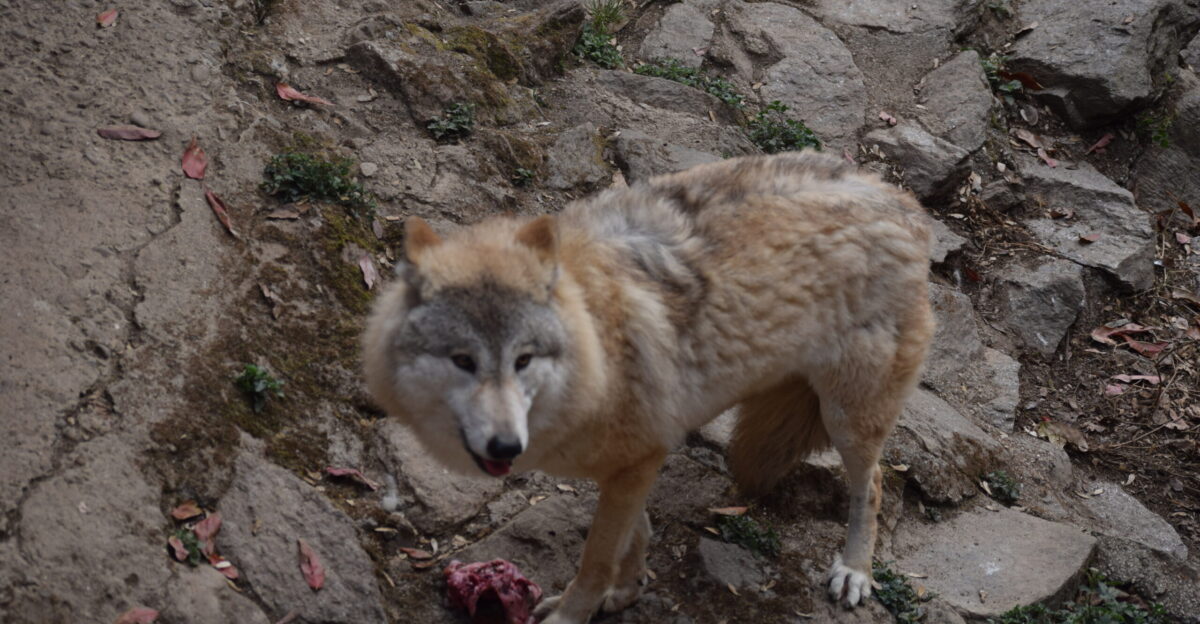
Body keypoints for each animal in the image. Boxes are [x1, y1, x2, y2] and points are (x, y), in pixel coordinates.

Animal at [363, 151, 935, 623]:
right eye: (463, 361)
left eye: (523, 360)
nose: (506, 446)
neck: (597, 346)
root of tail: (906, 205)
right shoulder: (636, 461)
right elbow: (632, 537)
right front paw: (626, 593)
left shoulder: (639, 459)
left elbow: (596, 557)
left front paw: (575, 614)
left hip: (847, 418)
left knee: (874, 482)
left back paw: (855, 571)